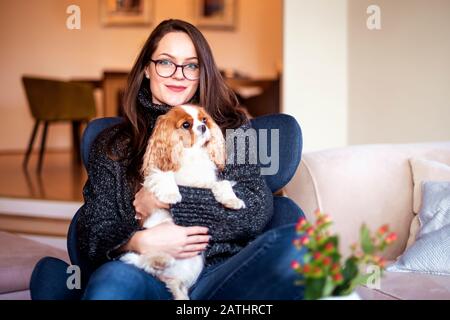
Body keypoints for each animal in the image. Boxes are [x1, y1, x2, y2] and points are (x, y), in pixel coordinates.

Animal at [120, 104, 246, 298]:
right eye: (186, 125)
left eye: (204, 120)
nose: (203, 127)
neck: (191, 155)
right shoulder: (153, 176)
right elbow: (165, 175)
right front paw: (171, 195)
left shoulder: (206, 182)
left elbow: (223, 184)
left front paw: (232, 200)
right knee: (144, 262)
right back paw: (160, 259)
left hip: (194, 262)